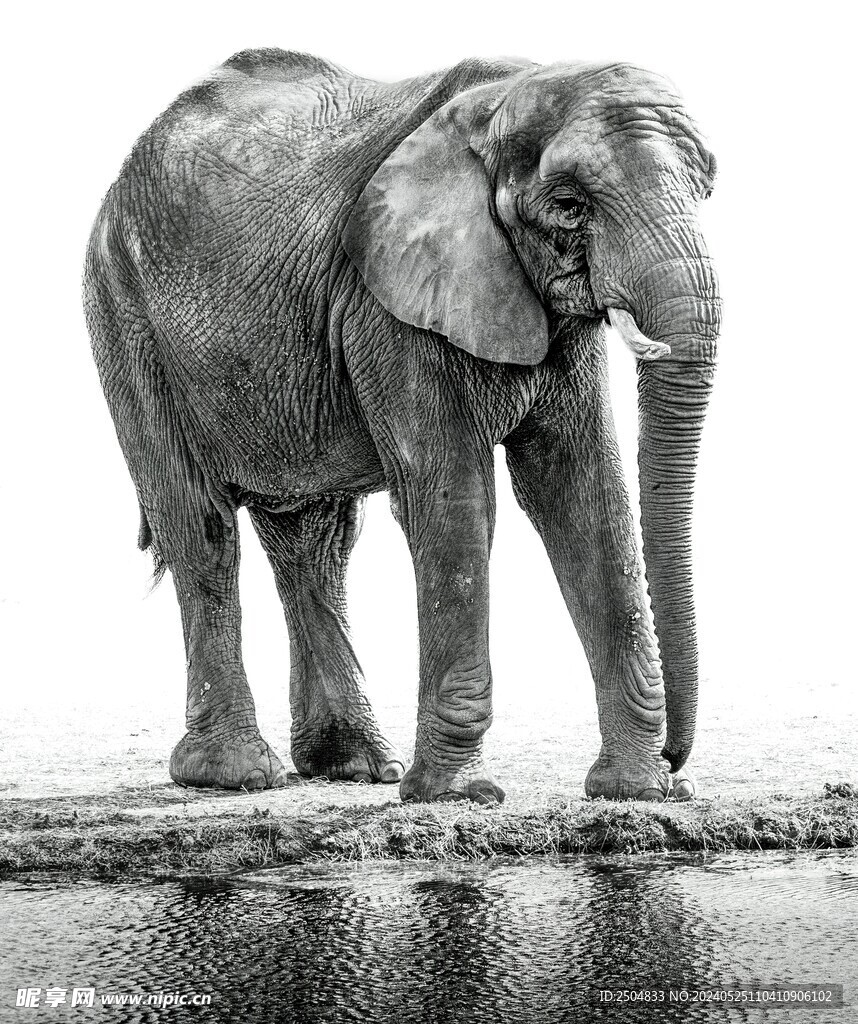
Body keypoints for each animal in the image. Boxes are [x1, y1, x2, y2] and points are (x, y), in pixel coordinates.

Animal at [83, 50, 720, 804]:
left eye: (706, 187)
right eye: (569, 206)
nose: (680, 760)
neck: (510, 93)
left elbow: (584, 499)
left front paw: (638, 792)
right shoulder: (385, 302)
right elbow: (451, 501)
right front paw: (456, 796)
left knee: (315, 543)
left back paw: (354, 766)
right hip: (125, 316)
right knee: (199, 526)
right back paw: (236, 775)